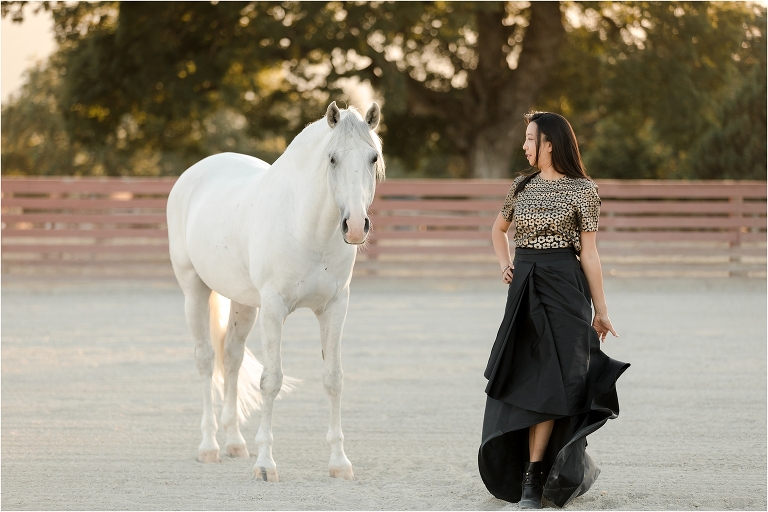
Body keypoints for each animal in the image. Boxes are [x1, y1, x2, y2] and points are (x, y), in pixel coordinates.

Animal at [167, 101, 384, 482]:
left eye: (373, 157)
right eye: (332, 159)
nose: (356, 226)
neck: (308, 228)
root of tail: (194, 173)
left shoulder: (335, 307)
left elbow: (333, 379)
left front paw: (339, 463)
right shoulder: (273, 308)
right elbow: (271, 381)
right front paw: (266, 465)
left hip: (243, 303)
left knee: (232, 358)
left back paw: (235, 443)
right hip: (195, 290)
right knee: (206, 360)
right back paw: (209, 446)